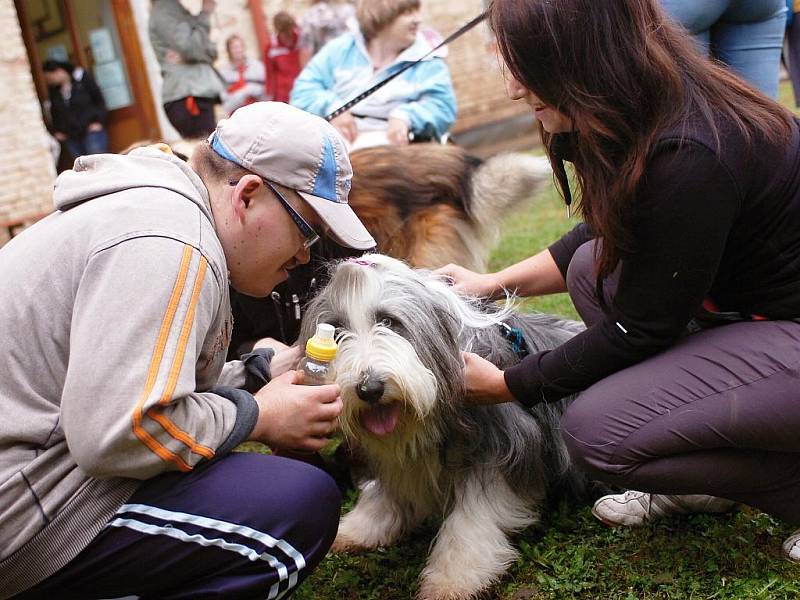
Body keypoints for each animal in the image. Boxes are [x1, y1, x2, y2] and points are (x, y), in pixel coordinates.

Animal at [300, 254, 592, 600]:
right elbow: (385, 492)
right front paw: (359, 529)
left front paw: (454, 578)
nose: (369, 389)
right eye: (336, 331)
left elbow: (474, 513)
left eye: (388, 321)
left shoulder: (502, 444)